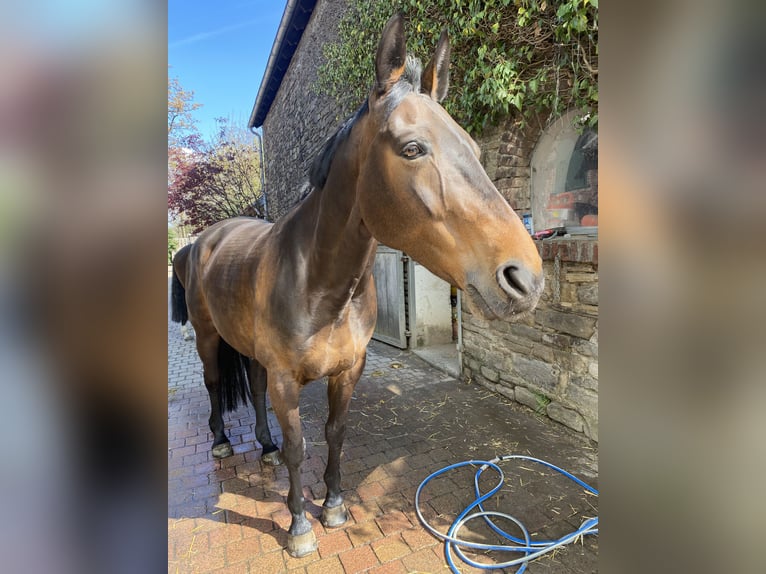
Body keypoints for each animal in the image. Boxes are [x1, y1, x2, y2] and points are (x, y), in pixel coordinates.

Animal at [171, 15, 544, 560]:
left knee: (253, 390)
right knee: (215, 382)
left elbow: (335, 433)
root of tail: (203, 241)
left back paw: (263, 447)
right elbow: (299, 446)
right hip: (206, 335)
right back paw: (221, 441)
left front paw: (333, 506)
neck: (318, 283)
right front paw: (298, 527)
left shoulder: (348, 370)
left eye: (475, 149)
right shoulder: (286, 379)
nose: (526, 279)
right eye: (412, 148)